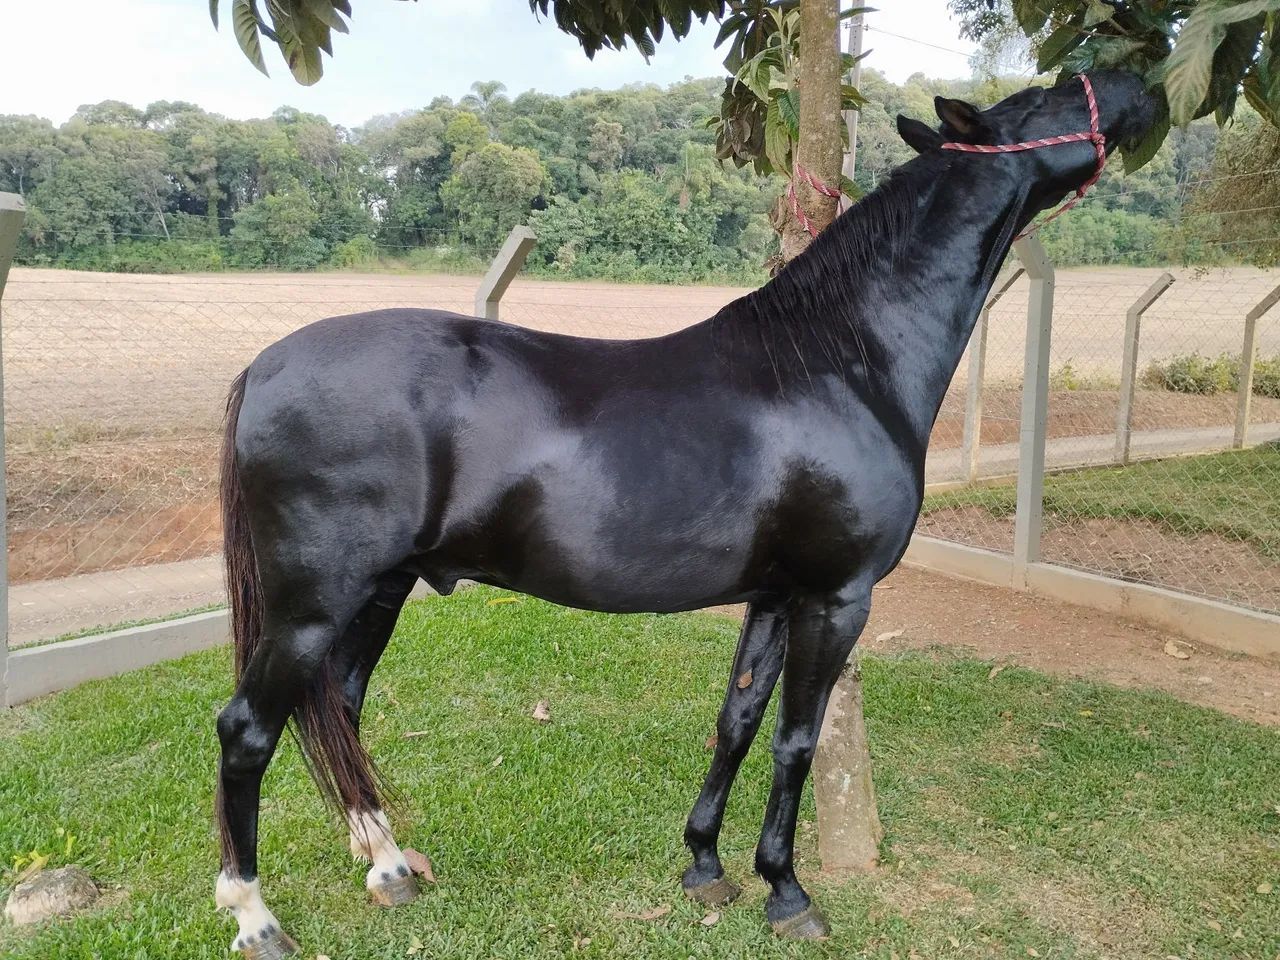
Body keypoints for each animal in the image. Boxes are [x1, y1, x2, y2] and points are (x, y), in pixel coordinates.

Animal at [213, 70, 1154, 957]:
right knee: (248, 729)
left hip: (379, 592)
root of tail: (264, 365)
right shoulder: (836, 598)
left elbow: (736, 723)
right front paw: (787, 891)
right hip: (311, 606)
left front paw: (706, 864)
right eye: (1042, 98)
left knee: (338, 709)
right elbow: (796, 739)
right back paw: (256, 917)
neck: (840, 360)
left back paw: (387, 867)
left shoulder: (774, 597)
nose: (1135, 85)